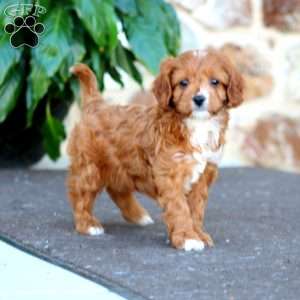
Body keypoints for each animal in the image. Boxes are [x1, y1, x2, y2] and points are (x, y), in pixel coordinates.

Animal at [67, 48, 243, 251]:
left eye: (215, 82)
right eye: (183, 83)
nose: (199, 98)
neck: (196, 125)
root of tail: (95, 104)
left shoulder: (204, 174)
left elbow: (196, 209)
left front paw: (198, 234)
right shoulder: (171, 173)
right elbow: (180, 208)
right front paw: (187, 238)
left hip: (120, 164)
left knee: (116, 188)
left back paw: (138, 215)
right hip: (90, 165)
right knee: (81, 194)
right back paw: (88, 224)